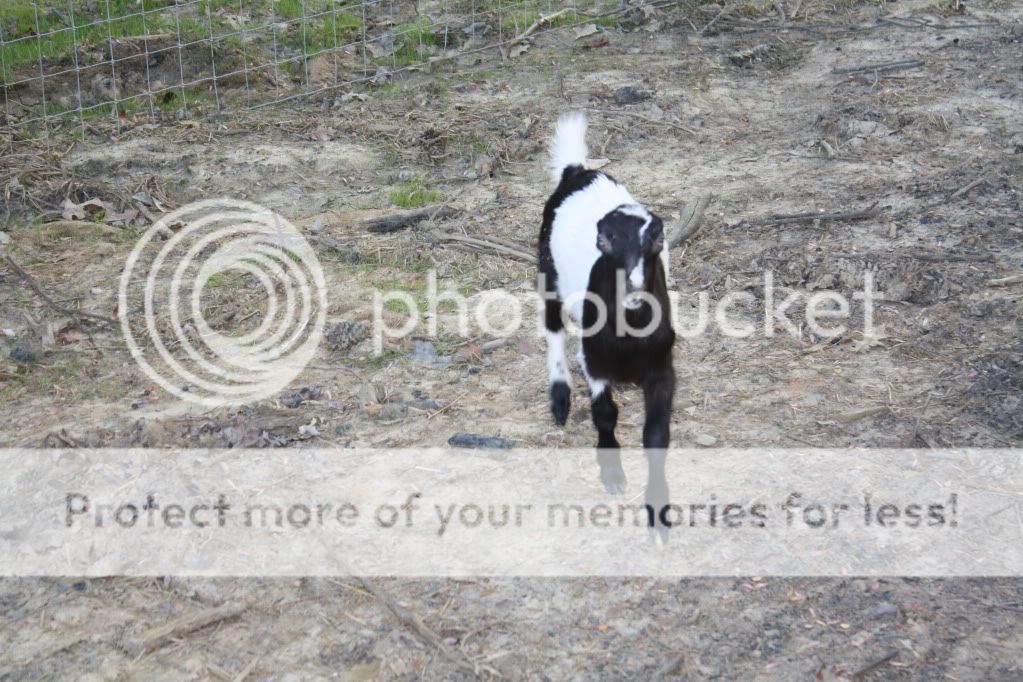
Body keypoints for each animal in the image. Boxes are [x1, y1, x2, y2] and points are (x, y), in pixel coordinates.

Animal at [537, 112, 676, 542]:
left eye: (658, 240)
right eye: (605, 239)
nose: (633, 288)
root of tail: (579, 172)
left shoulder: (663, 369)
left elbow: (656, 436)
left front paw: (658, 511)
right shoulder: (594, 360)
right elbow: (605, 413)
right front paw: (612, 473)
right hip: (546, 268)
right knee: (552, 327)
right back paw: (560, 397)